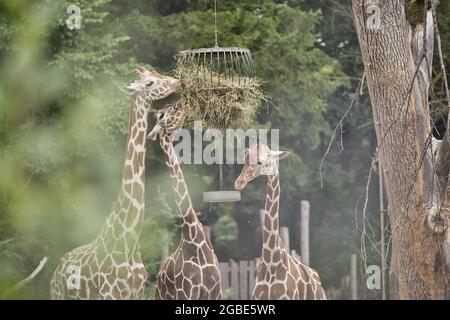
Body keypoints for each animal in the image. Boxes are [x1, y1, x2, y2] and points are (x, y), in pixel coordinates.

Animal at [49, 67, 181, 300]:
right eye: (149, 83)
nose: (176, 82)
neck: (129, 243)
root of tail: (56, 272)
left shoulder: (137, 293)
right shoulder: (111, 292)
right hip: (57, 295)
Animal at [148, 100, 221, 300]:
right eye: (162, 115)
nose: (181, 103)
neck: (192, 240)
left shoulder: (214, 291)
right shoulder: (187, 293)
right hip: (160, 295)